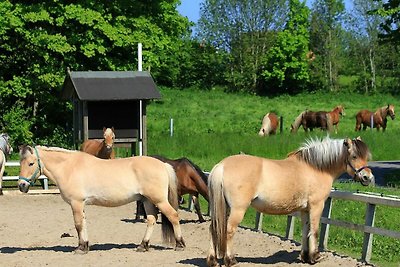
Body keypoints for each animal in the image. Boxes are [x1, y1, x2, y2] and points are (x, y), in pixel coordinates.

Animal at [18, 146, 187, 254]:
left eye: (31, 163)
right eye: (21, 163)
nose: (21, 185)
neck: (69, 167)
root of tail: (163, 165)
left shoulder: (76, 203)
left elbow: (78, 225)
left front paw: (80, 249)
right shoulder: (80, 204)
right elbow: (83, 224)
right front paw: (85, 246)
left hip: (159, 200)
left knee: (173, 216)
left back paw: (179, 245)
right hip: (147, 200)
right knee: (151, 220)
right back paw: (142, 246)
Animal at [206, 137, 376, 266]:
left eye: (365, 157)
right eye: (354, 156)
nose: (367, 177)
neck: (316, 168)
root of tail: (222, 165)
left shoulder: (304, 209)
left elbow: (305, 231)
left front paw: (306, 256)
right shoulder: (316, 205)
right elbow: (314, 231)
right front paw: (315, 257)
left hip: (223, 207)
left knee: (214, 228)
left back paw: (212, 260)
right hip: (238, 209)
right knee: (229, 230)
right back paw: (230, 260)